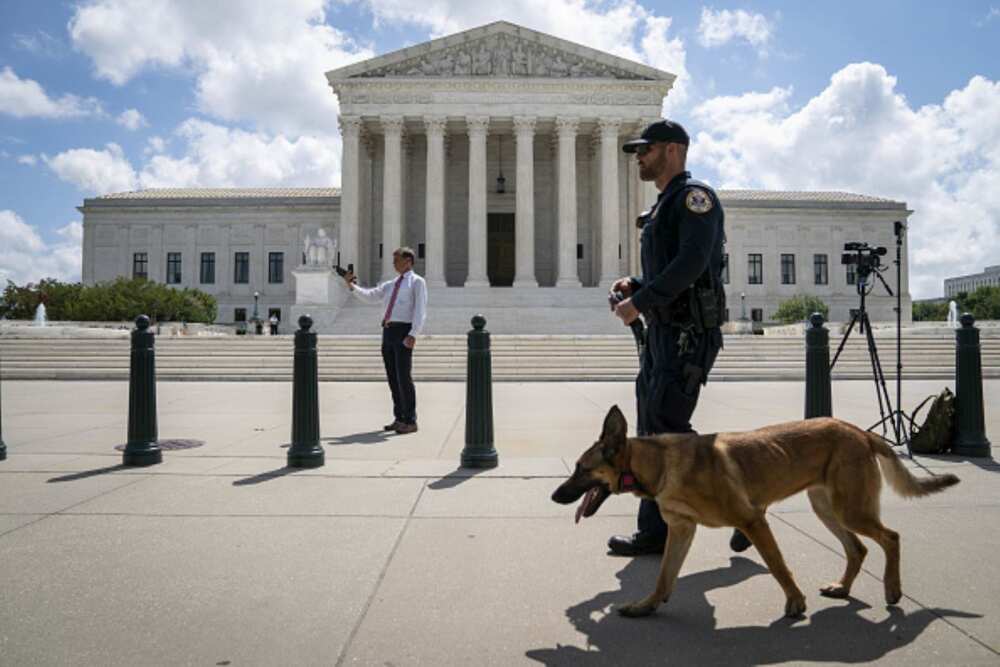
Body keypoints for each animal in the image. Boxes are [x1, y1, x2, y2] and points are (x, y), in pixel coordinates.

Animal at [556, 408, 960, 620]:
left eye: (580, 469)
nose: (554, 495)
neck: (659, 465)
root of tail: (857, 429)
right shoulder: (682, 531)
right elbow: (663, 578)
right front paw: (646, 606)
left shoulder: (752, 521)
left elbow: (778, 565)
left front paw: (795, 603)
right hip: (828, 509)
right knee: (858, 549)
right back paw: (843, 587)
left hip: (851, 510)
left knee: (890, 537)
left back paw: (892, 588)